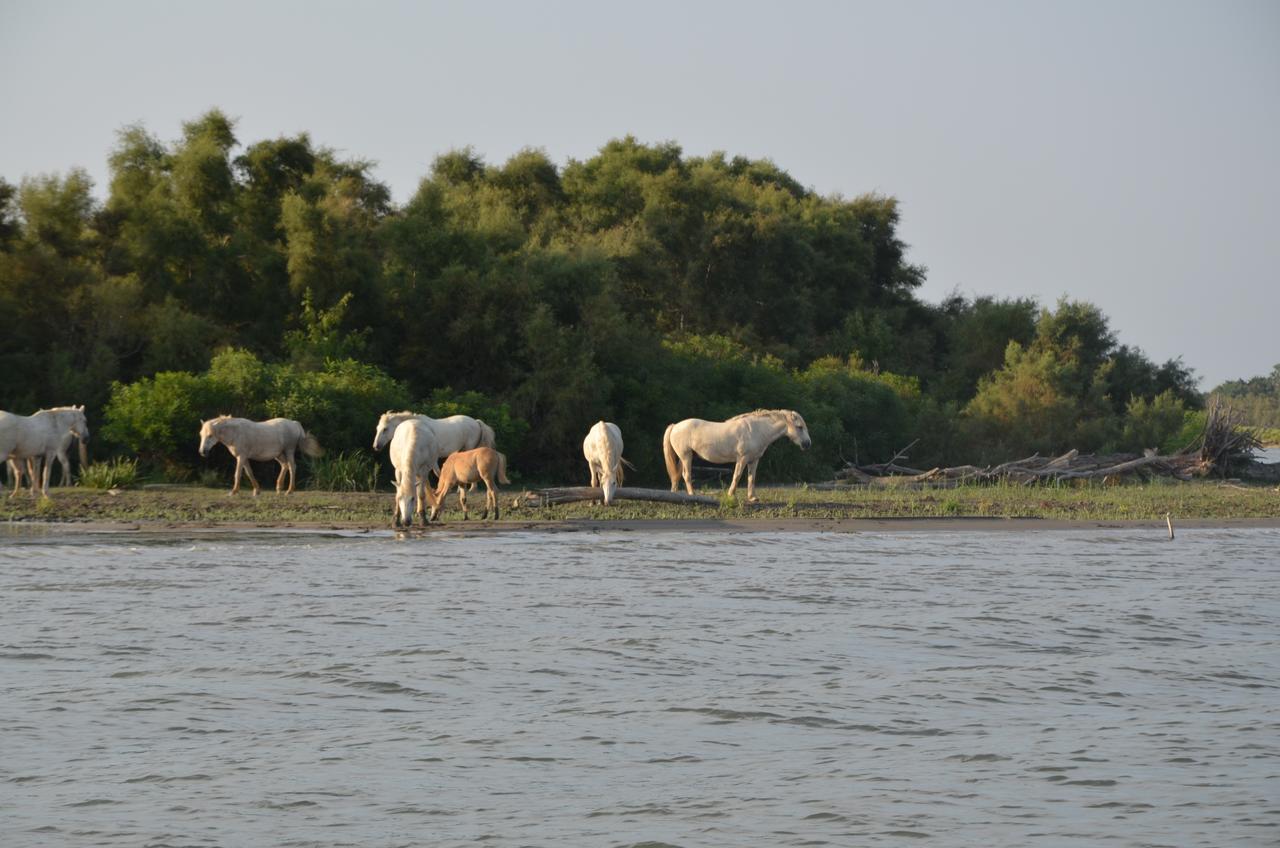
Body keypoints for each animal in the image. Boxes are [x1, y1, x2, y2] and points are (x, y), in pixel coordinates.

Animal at [660, 409, 808, 504]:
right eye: (799, 427)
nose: (808, 444)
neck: (757, 430)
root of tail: (675, 426)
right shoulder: (742, 459)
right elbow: (736, 476)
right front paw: (731, 495)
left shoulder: (753, 460)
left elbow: (751, 478)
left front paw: (752, 498)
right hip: (686, 457)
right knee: (687, 475)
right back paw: (692, 494)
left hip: (684, 457)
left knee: (677, 475)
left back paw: (675, 494)